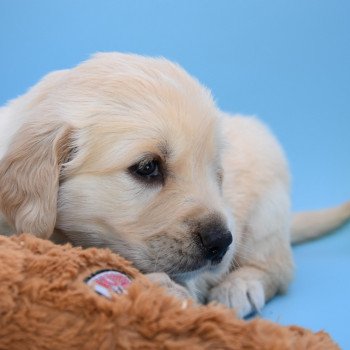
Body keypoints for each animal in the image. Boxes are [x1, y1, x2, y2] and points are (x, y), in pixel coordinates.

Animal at [0, 52, 350, 318]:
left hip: (266, 213)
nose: (222, 241)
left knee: (278, 268)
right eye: (147, 167)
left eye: (217, 173)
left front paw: (164, 292)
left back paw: (240, 287)